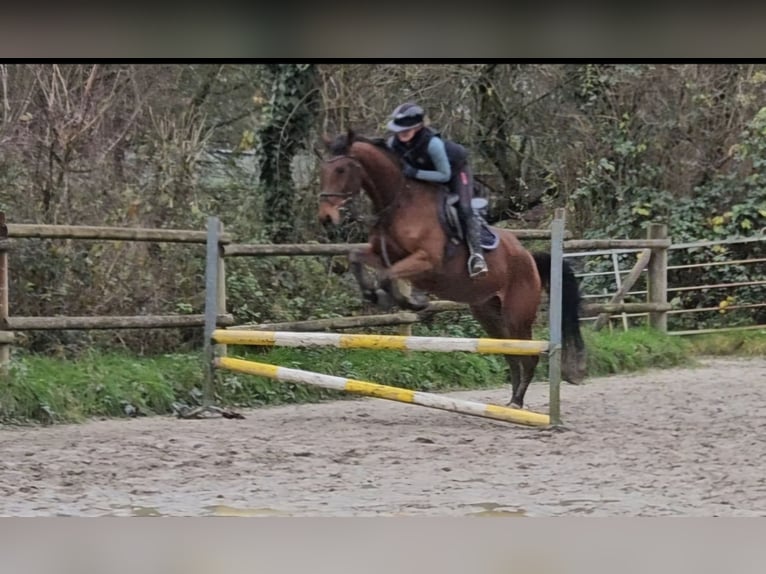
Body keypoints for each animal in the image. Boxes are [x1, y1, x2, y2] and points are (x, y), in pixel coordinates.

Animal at [318, 130, 588, 410]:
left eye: (341, 169)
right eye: (322, 170)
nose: (326, 217)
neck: (400, 203)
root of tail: (530, 258)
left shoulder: (425, 261)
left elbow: (386, 276)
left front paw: (407, 301)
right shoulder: (384, 254)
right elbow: (355, 257)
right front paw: (374, 294)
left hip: (517, 314)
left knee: (529, 355)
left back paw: (516, 403)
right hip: (488, 314)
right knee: (511, 354)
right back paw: (510, 402)